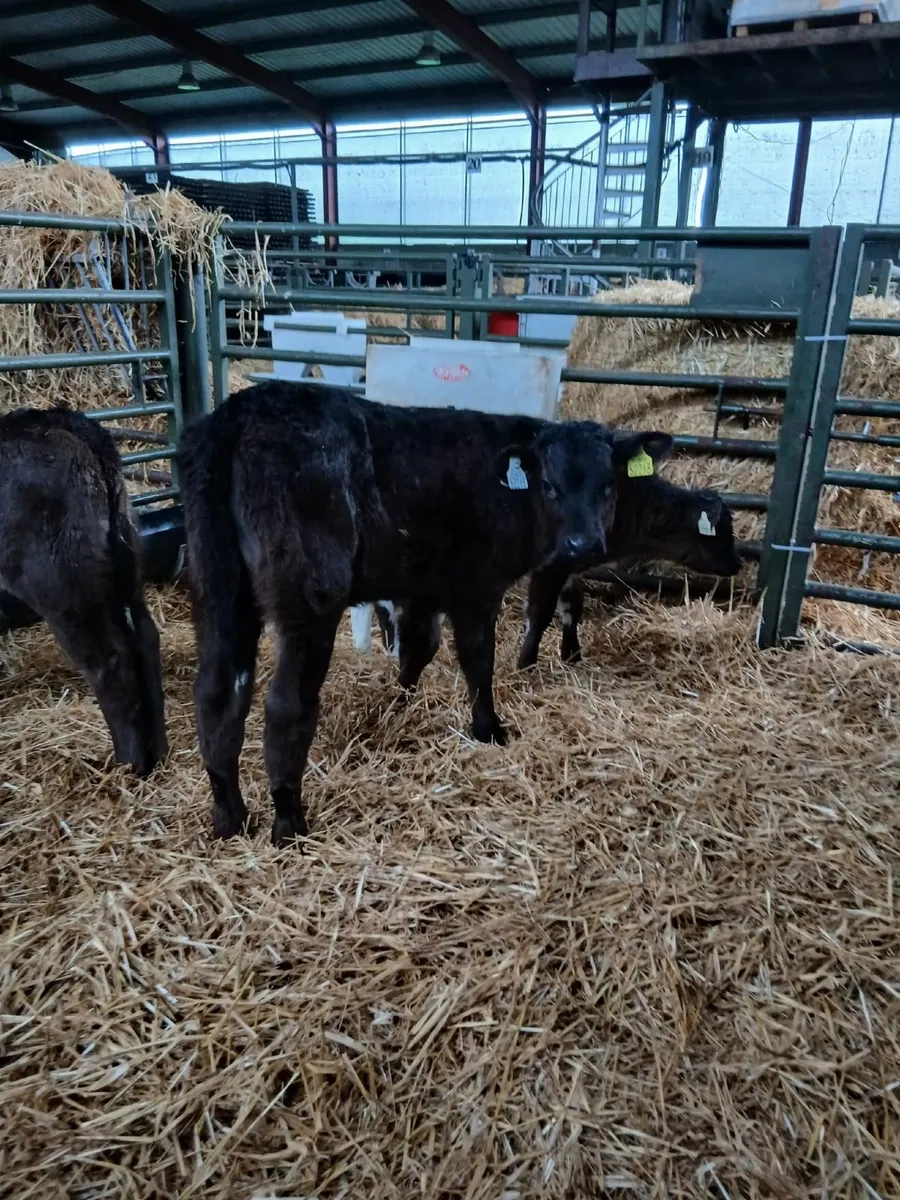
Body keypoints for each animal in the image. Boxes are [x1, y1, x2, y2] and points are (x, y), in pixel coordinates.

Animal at [0, 407, 168, 776]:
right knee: (145, 637)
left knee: (109, 660)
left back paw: (128, 764)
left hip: (59, 581)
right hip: (127, 556)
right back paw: (158, 752)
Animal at [176, 380, 672, 845]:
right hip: (309, 594)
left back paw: (230, 817)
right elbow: (478, 658)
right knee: (285, 704)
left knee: (218, 694)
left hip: (219, 585)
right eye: (549, 486)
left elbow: (418, 647)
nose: (582, 545)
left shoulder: (422, 586)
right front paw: (489, 728)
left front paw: (398, 703)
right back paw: (289, 823)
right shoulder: (476, 586)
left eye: (608, 485)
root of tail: (239, 411)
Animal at [351, 473, 741, 671]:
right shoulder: (550, 566)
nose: (738, 564)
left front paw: (572, 654)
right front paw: (526, 662)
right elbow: (540, 613)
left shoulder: (572, 568)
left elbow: (572, 608)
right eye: (719, 531)